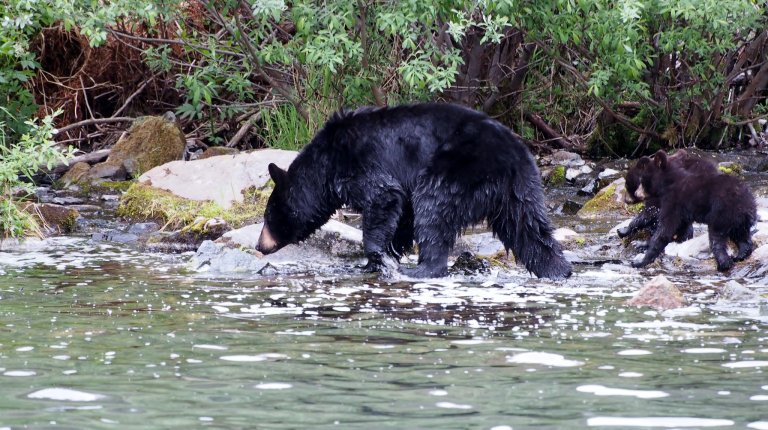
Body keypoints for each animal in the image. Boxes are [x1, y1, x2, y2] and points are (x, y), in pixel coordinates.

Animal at [256, 103, 572, 280]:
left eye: (268, 216)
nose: (259, 246)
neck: (323, 166)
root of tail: (510, 158)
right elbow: (402, 215)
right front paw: (382, 258)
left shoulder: (357, 163)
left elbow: (384, 195)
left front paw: (378, 257)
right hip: (522, 189)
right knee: (530, 230)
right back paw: (557, 270)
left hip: (457, 170)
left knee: (433, 208)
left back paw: (421, 270)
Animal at [625, 150, 756, 271]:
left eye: (642, 179)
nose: (636, 194)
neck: (668, 184)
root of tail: (746, 204)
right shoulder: (682, 211)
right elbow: (679, 227)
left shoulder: (673, 202)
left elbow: (665, 229)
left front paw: (640, 261)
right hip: (741, 222)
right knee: (742, 238)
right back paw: (740, 255)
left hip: (722, 215)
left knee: (716, 239)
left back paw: (723, 264)